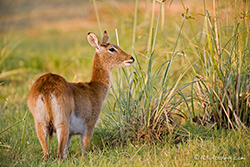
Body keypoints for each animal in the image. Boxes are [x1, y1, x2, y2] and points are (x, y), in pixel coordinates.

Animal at [26, 31, 135, 160]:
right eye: (112, 48)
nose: (131, 58)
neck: (93, 88)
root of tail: (46, 87)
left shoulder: (70, 134)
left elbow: (66, 150)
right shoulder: (89, 126)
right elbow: (84, 149)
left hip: (40, 124)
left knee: (47, 153)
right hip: (62, 123)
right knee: (58, 154)